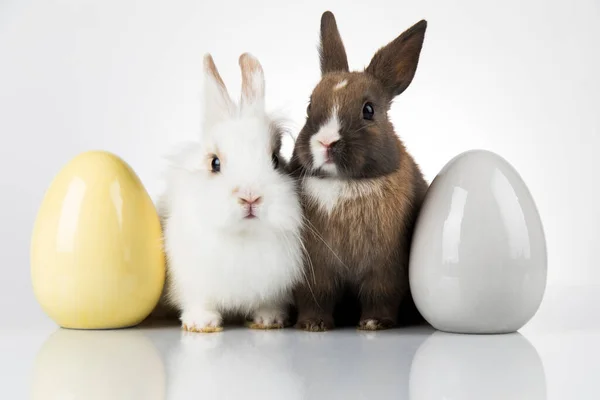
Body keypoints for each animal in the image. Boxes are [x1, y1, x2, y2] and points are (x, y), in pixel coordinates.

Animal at [159, 53, 304, 332]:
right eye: (214, 163)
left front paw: (269, 320)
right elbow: (199, 302)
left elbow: (268, 303)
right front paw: (201, 323)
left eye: (275, 160)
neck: (243, 237)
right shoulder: (193, 282)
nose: (250, 197)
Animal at [288, 11, 428, 332]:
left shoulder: (385, 268)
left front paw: (374, 323)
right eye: (309, 106)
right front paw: (313, 325)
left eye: (369, 110)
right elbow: (317, 296)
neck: (344, 183)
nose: (326, 142)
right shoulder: (314, 269)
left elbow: (381, 294)